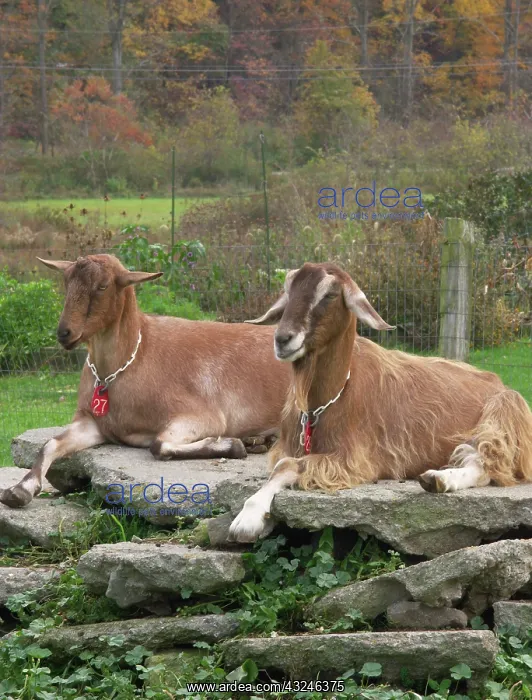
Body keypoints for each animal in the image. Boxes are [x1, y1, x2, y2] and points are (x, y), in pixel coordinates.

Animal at [0, 254, 290, 508]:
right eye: (66, 282)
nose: (64, 333)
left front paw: (232, 444)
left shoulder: (202, 415)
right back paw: (258, 440)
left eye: (103, 286)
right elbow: (50, 443)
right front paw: (19, 490)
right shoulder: (94, 423)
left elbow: (158, 445)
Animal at [229, 262, 532, 542]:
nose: (283, 339)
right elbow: (280, 465)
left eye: (329, 295)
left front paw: (247, 518)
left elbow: (287, 466)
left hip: (505, 410)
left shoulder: (353, 459)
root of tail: (497, 381)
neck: (324, 402)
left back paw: (439, 479)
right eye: (288, 291)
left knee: (489, 464)